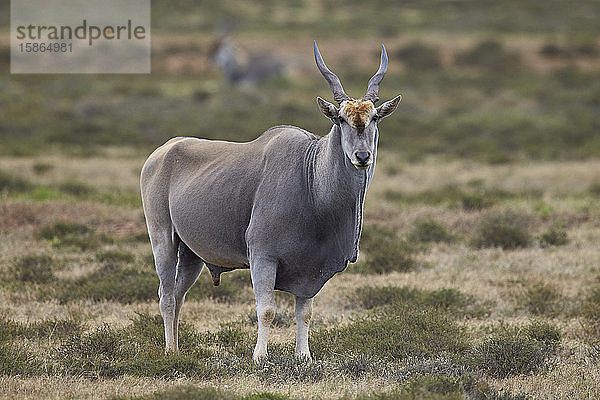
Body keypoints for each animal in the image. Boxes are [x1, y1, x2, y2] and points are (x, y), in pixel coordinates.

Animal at [141, 41, 404, 362]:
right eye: (340, 119)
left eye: (374, 117)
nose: (362, 156)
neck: (310, 176)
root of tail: (162, 151)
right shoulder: (262, 257)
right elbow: (266, 310)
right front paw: (260, 357)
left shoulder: (310, 270)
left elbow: (305, 313)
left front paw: (303, 356)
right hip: (163, 240)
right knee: (166, 295)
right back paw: (169, 351)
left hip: (191, 254)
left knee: (179, 294)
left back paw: (178, 348)